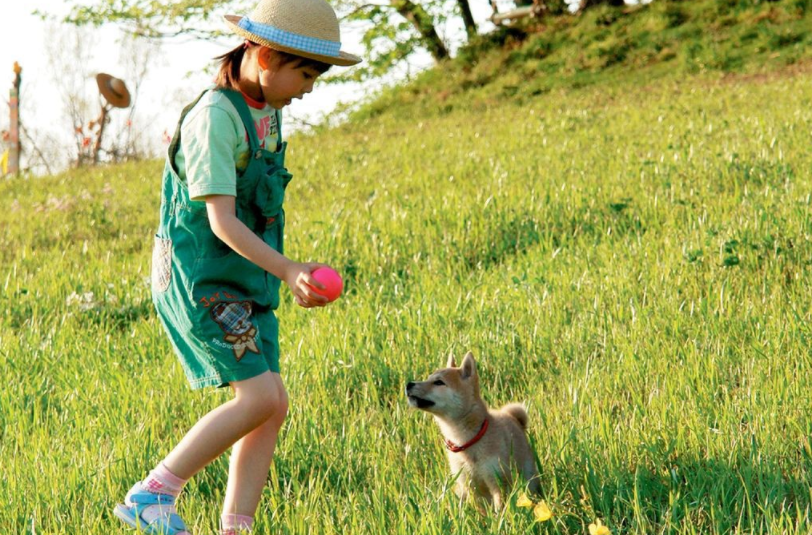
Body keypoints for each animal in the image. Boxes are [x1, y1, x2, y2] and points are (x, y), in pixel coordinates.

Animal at [404, 352, 540, 510]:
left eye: (438, 382)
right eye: (428, 378)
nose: (409, 384)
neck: (468, 441)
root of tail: (512, 417)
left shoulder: (498, 481)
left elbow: (499, 508)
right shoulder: (470, 486)